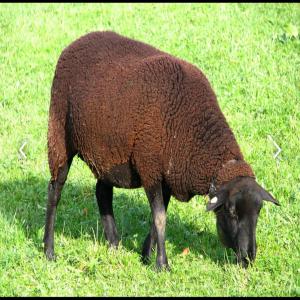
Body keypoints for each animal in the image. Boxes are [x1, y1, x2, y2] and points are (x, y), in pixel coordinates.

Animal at [43, 30, 280, 270]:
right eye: (231, 212)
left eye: (259, 211)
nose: (248, 258)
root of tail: (80, 39)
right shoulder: (150, 169)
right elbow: (160, 218)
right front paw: (162, 264)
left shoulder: (167, 177)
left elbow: (156, 218)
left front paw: (146, 256)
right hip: (59, 135)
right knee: (55, 191)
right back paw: (49, 250)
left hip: (108, 153)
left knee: (102, 192)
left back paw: (114, 244)